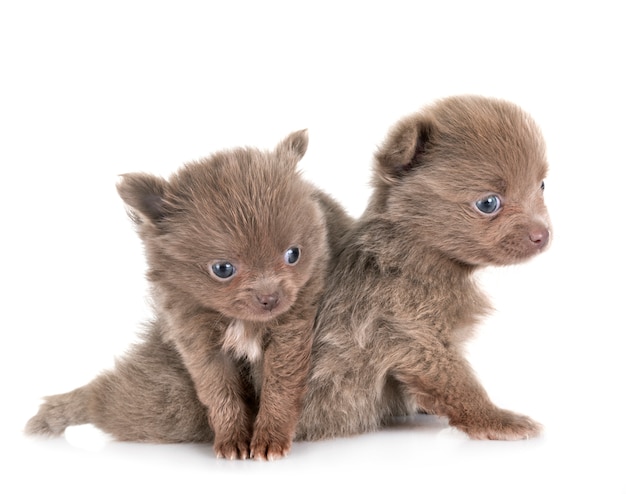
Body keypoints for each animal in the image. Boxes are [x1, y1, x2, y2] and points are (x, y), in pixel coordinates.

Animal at [24, 130, 354, 460]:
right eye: (222, 269)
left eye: (293, 254)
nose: (270, 298)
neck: (240, 321)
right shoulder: (198, 341)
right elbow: (220, 394)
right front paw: (233, 439)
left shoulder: (291, 327)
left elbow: (279, 388)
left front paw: (270, 438)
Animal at [294, 95, 548, 440]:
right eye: (488, 203)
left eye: (542, 186)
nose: (542, 235)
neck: (420, 251)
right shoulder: (414, 335)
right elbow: (460, 384)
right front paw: (495, 419)